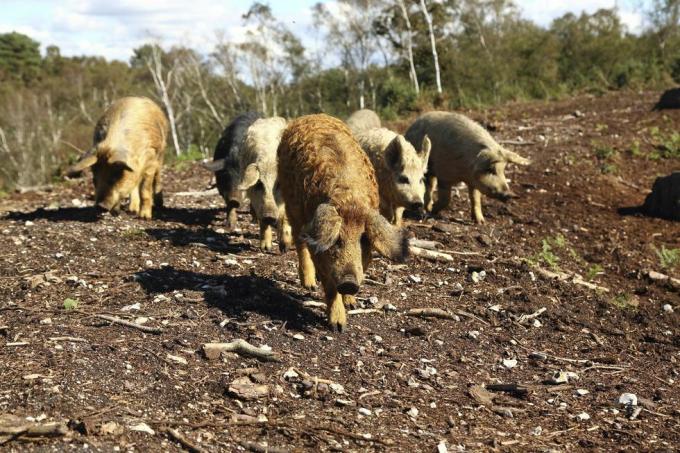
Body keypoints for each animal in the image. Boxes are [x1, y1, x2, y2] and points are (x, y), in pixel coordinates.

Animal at [238, 115, 290, 251]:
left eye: (279, 184)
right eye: (259, 184)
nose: (269, 216)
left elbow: (285, 216)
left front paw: (285, 248)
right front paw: (266, 248)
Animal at [278, 115, 410, 330]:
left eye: (363, 239)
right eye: (337, 239)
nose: (349, 282)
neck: (349, 200)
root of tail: (312, 115)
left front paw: (351, 303)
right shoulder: (319, 248)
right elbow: (330, 286)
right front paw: (338, 326)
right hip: (292, 207)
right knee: (299, 241)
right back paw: (309, 284)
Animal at [404, 109, 532, 222]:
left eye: (503, 170)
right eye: (490, 170)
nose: (512, 195)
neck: (465, 172)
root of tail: (412, 125)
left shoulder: (473, 182)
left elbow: (475, 199)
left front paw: (481, 222)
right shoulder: (444, 175)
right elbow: (446, 199)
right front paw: (433, 211)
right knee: (428, 187)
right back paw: (426, 210)